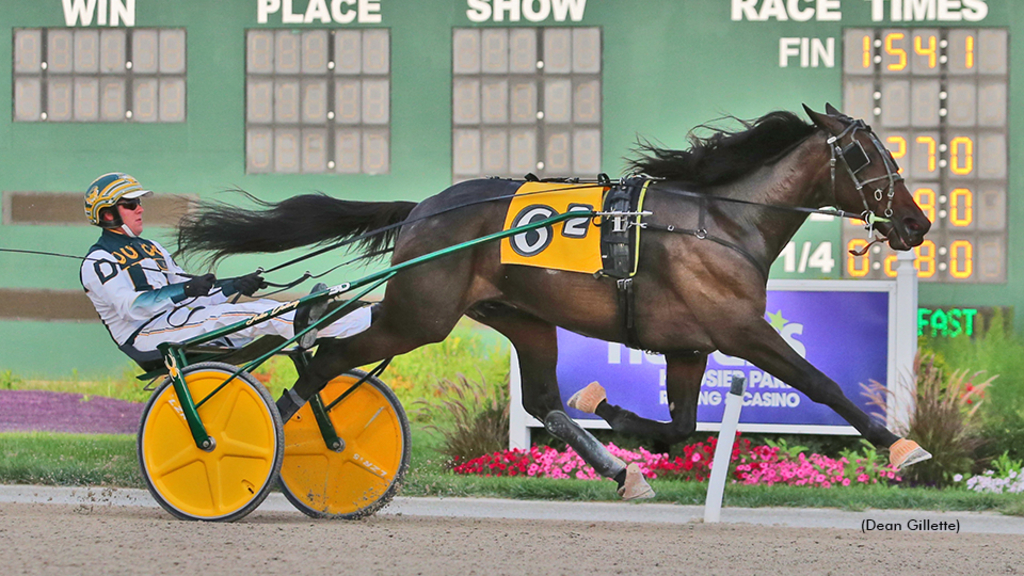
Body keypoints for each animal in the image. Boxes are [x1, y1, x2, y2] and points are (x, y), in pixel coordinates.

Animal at [178, 104, 937, 498]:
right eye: (865, 156)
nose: (915, 223)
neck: (721, 223)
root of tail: (424, 208)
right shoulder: (739, 327)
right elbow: (820, 382)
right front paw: (903, 449)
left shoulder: (690, 344)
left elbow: (682, 426)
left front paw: (618, 419)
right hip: (419, 315)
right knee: (326, 356)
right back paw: (255, 444)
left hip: (523, 318)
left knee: (542, 397)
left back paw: (618, 469)